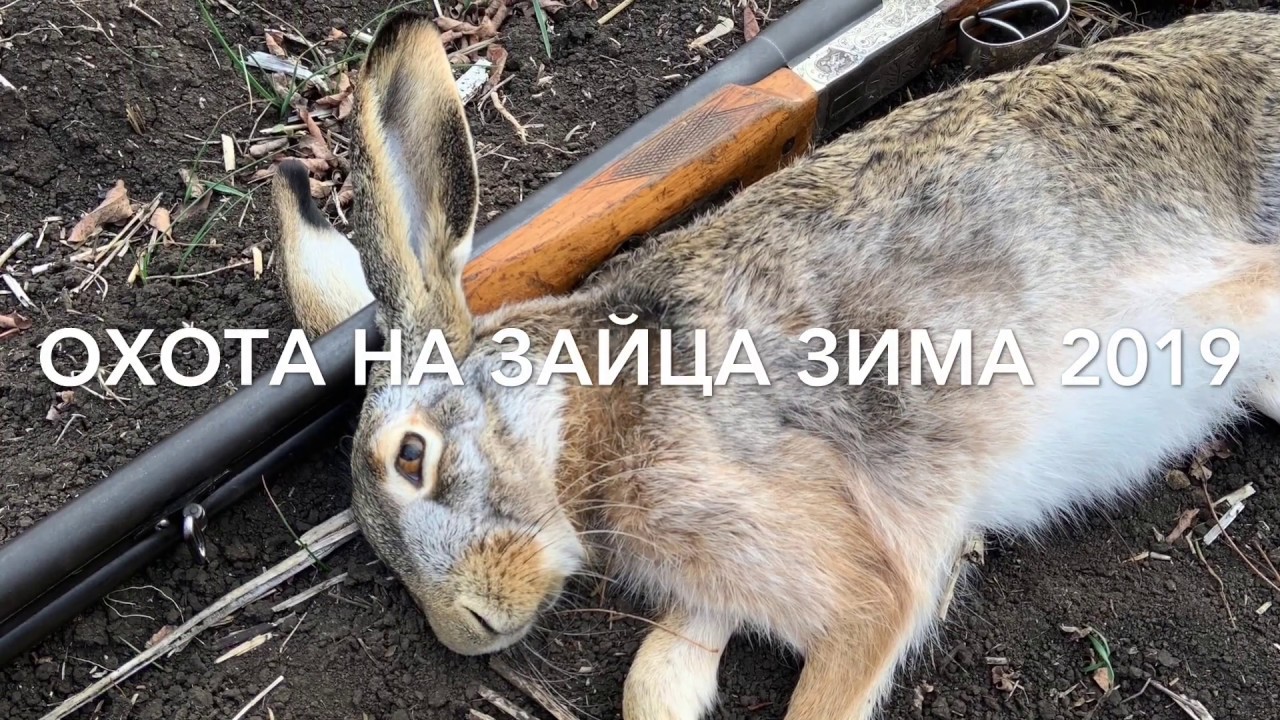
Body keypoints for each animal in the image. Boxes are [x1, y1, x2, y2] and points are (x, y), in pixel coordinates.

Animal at [270, 9, 1280, 720]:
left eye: (412, 457)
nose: (468, 633)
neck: (588, 402)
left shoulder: (853, 576)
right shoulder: (718, 584)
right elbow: (653, 682)